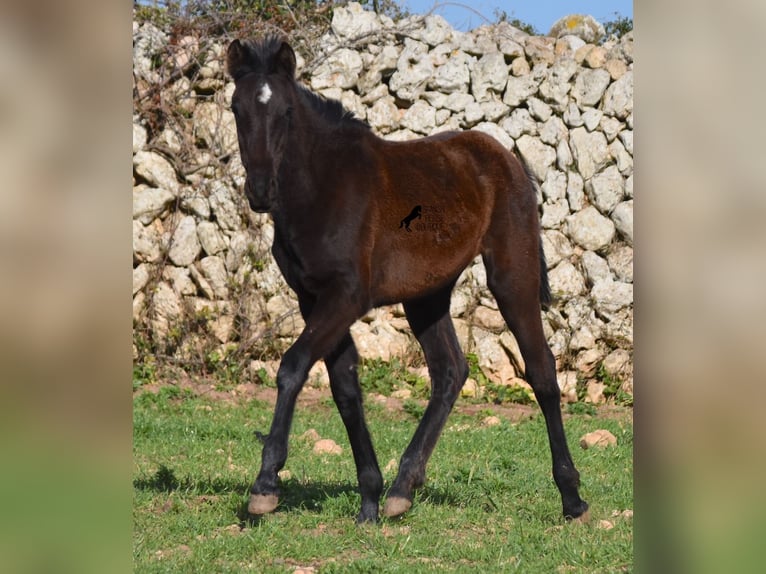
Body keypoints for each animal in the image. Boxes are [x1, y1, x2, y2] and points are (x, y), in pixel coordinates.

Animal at [225, 36, 592, 528]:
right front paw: (369, 498)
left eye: (285, 111)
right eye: (236, 108)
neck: (322, 189)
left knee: (541, 370)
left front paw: (265, 486)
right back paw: (401, 489)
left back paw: (572, 498)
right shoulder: (313, 299)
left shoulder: (346, 296)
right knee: (450, 371)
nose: (261, 191)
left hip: (513, 276)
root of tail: (508, 158)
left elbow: (293, 366)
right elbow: (345, 387)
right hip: (427, 295)